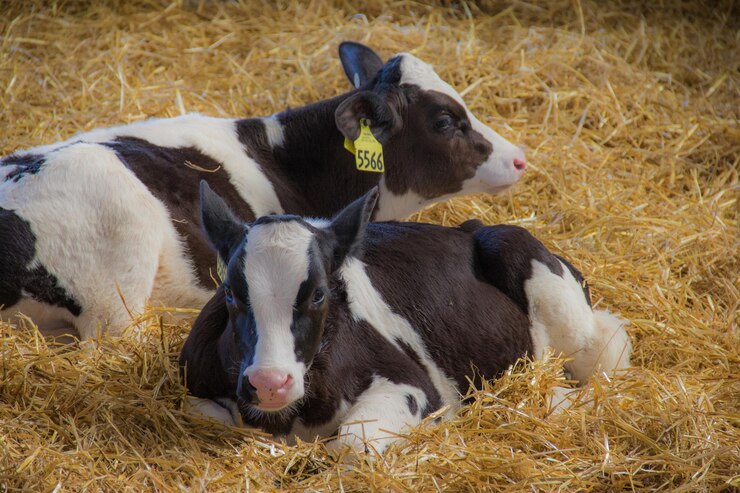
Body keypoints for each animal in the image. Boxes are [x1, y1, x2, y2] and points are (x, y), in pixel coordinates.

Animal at [179, 184, 632, 454]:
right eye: (231, 292)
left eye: (319, 293)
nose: (270, 382)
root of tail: (469, 227)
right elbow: (207, 413)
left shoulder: (413, 385)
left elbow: (353, 442)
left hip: (548, 290)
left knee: (605, 351)